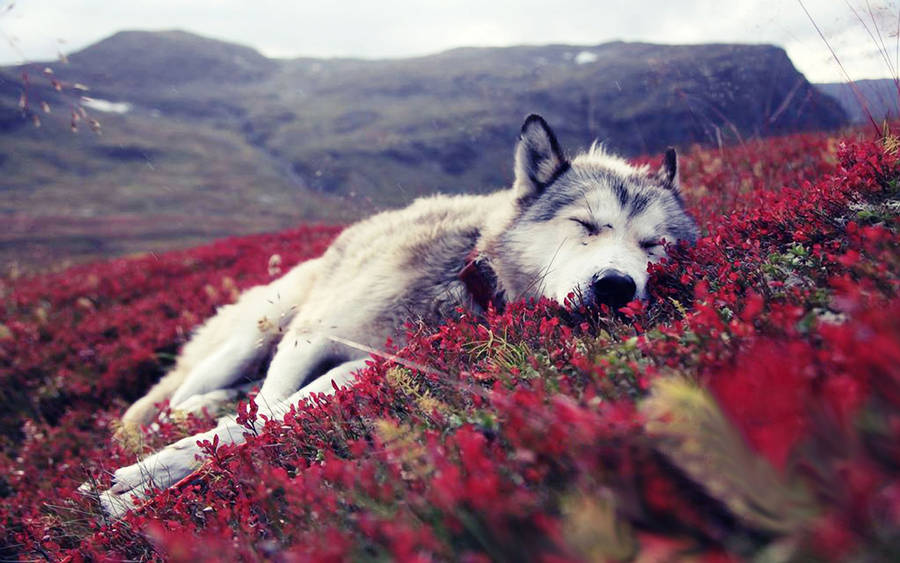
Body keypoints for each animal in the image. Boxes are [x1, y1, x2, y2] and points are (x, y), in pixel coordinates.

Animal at [97, 114, 698, 516]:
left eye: (655, 245)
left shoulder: (365, 366)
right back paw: (174, 418)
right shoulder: (311, 337)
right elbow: (261, 412)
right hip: (260, 330)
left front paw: (151, 480)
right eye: (586, 224)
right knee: (168, 400)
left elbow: (269, 418)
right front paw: (151, 474)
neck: (463, 278)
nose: (616, 287)